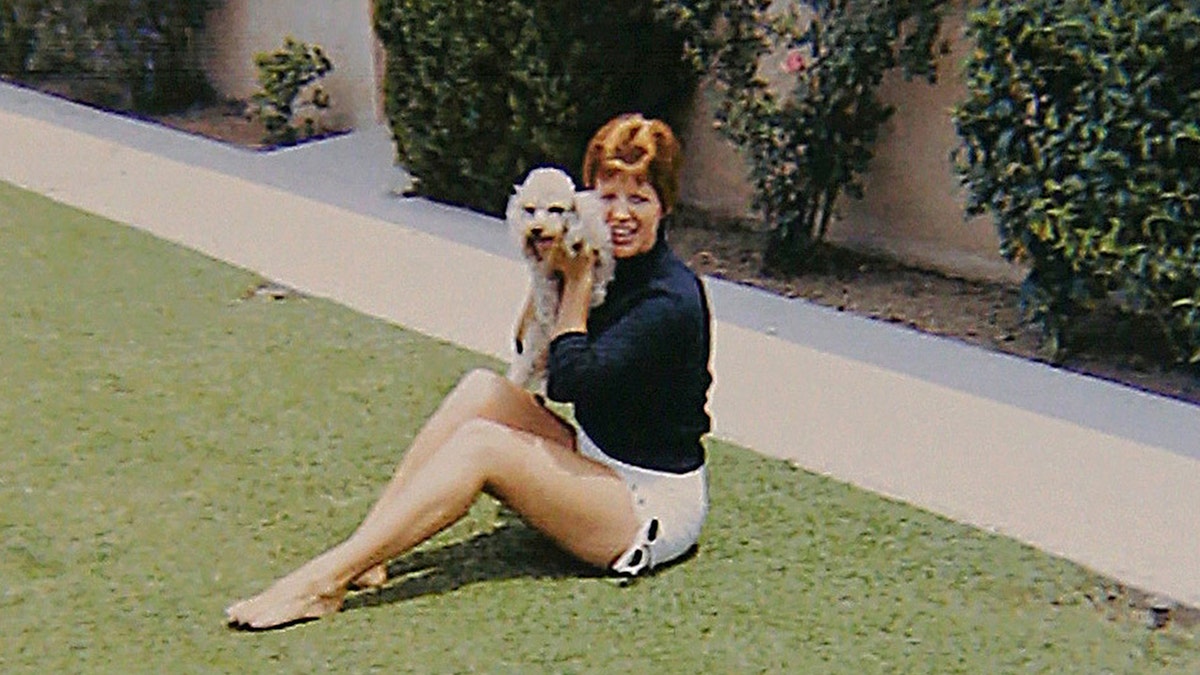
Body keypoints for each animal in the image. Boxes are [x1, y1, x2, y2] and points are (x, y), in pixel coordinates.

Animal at [508, 165, 619, 393]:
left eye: (556, 209)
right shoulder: (543, 273)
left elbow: (600, 270)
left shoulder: (600, 252)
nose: (536, 229)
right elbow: (545, 290)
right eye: (530, 210)